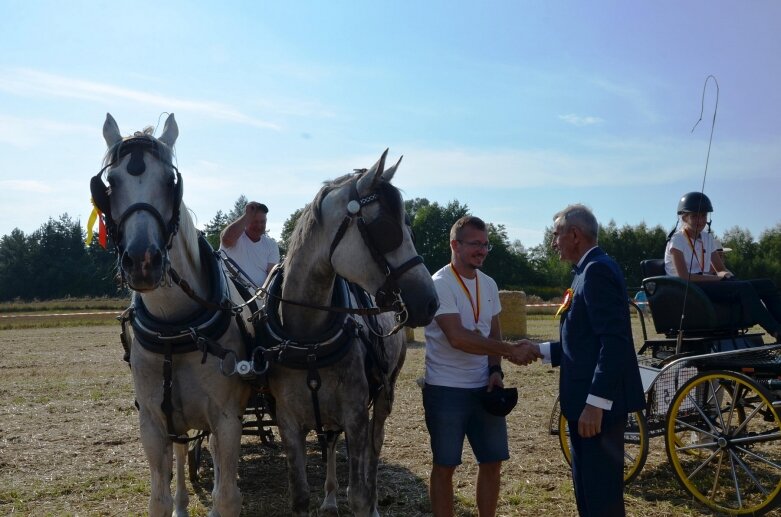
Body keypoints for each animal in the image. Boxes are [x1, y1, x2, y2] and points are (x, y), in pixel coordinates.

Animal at [91, 114, 250, 516]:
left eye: (169, 181)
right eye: (110, 184)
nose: (142, 261)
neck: (175, 330)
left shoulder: (227, 418)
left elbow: (226, 495)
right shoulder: (152, 421)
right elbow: (158, 498)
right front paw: (174, 503)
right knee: (181, 451)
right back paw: (182, 502)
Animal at [264, 147, 438, 512]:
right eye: (386, 228)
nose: (430, 302)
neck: (309, 341)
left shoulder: (356, 414)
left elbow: (359, 492)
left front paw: (365, 501)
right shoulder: (288, 421)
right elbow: (300, 495)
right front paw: (324, 497)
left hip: (385, 391)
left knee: (374, 444)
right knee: (331, 440)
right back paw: (330, 497)